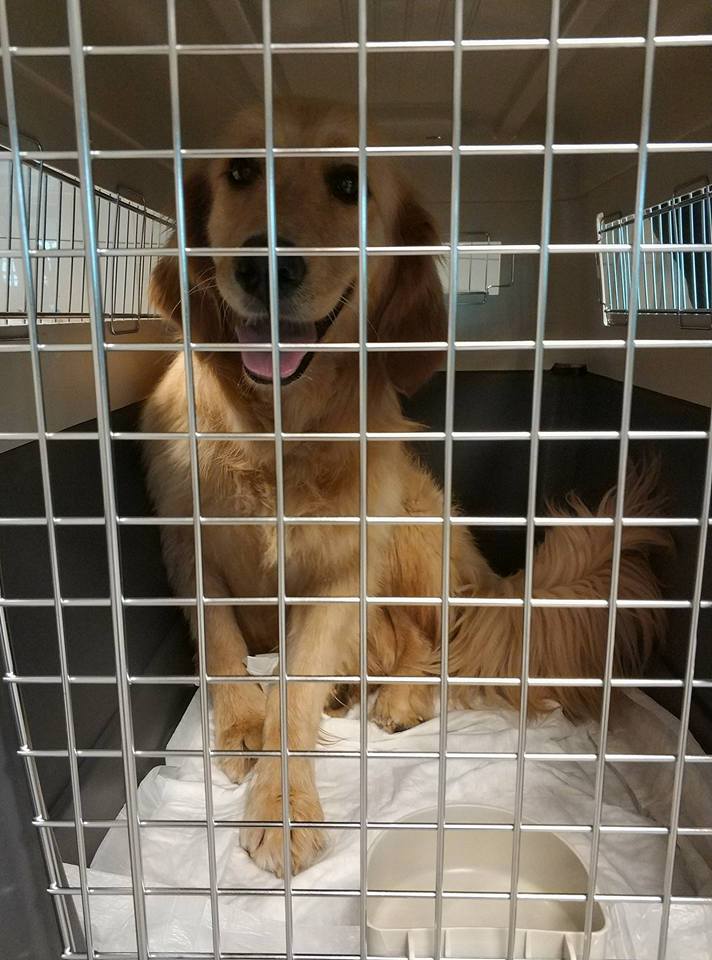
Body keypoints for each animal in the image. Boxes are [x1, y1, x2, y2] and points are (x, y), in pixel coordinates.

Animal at [143, 99, 668, 876]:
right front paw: (241, 726)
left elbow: (295, 686)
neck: (276, 432)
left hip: (409, 530)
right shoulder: (189, 549)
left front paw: (284, 803)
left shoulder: (342, 572)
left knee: (428, 644)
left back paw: (400, 696)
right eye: (240, 172)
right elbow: (222, 649)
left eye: (349, 184)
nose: (267, 264)